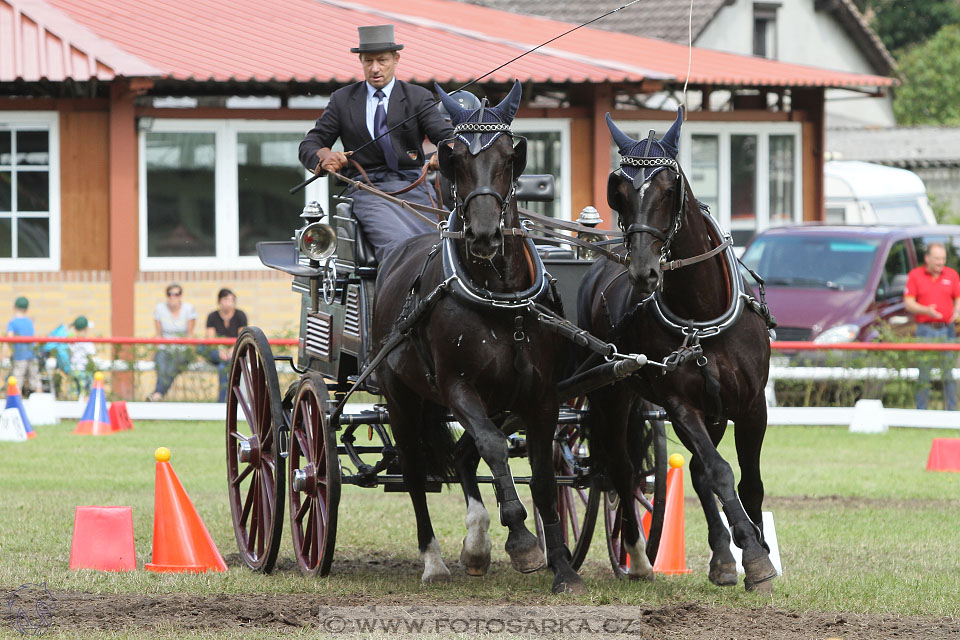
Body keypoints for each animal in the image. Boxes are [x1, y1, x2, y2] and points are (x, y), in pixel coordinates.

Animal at [372, 81, 584, 596]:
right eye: (456, 160)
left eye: (510, 157)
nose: (485, 235)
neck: (501, 297)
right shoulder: (457, 388)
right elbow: (492, 446)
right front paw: (522, 540)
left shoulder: (542, 397)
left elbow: (545, 480)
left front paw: (563, 568)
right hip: (402, 397)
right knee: (416, 470)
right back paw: (434, 560)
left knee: (461, 454)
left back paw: (476, 545)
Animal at [576, 107, 780, 592]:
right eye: (619, 192)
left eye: (669, 189)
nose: (643, 272)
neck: (702, 310)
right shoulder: (681, 404)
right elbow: (720, 471)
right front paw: (752, 553)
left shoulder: (750, 406)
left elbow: (748, 481)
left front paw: (755, 551)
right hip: (611, 394)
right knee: (624, 468)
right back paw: (636, 555)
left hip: (713, 410)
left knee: (694, 472)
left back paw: (722, 557)